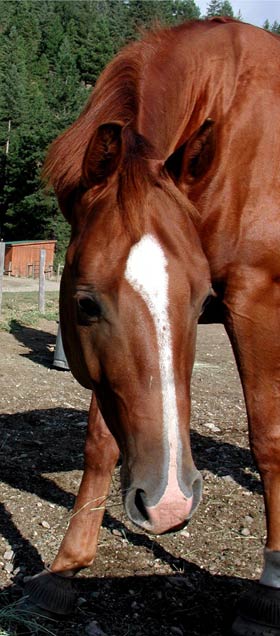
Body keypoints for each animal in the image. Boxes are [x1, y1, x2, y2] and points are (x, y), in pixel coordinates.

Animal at [26, 17, 280, 632]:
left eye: (200, 300)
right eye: (85, 305)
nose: (169, 503)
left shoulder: (257, 298)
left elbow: (268, 437)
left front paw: (269, 588)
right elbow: (101, 441)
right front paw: (66, 568)